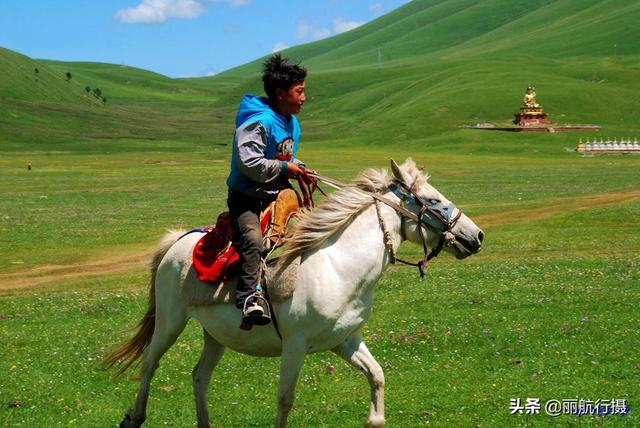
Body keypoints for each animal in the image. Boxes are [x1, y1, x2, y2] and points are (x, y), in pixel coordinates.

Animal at [105, 159, 482, 426]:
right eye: (434, 200)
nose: (476, 236)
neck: (338, 265)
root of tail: (178, 240)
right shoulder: (295, 345)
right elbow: (285, 399)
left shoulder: (344, 339)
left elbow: (377, 376)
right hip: (170, 322)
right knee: (150, 363)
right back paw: (133, 417)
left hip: (215, 334)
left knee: (200, 376)